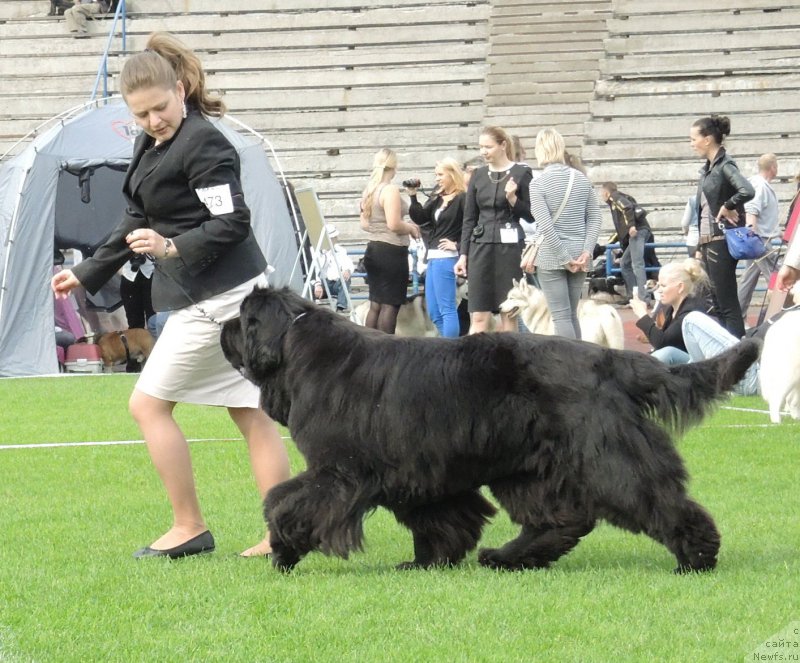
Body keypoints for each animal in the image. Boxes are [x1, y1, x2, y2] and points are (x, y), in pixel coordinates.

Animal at [222, 288, 760, 572]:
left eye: (244, 319)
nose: (223, 328)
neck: (297, 347)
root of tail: (609, 359)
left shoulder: (339, 470)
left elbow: (288, 502)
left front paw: (282, 548)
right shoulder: (418, 470)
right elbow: (440, 518)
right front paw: (426, 561)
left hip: (607, 456)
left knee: (654, 500)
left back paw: (697, 555)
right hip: (526, 467)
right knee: (561, 518)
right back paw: (507, 556)